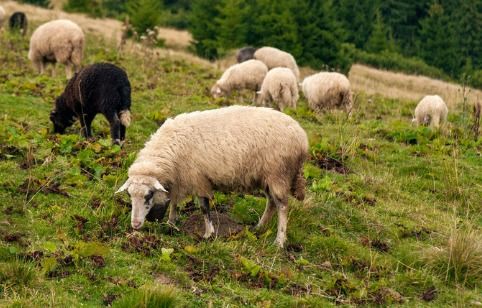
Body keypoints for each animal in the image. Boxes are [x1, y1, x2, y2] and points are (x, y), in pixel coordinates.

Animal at [116, 106, 308, 248]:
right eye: (129, 195)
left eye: (148, 195)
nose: (135, 225)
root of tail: (302, 137)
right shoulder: (179, 179)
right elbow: (174, 203)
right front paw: (171, 223)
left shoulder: (197, 178)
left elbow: (204, 208)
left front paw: (208, 233)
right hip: (266, 177)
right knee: (271, 203)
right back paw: (259, 227)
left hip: (278, 174)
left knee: (282, 206)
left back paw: (279, 241)